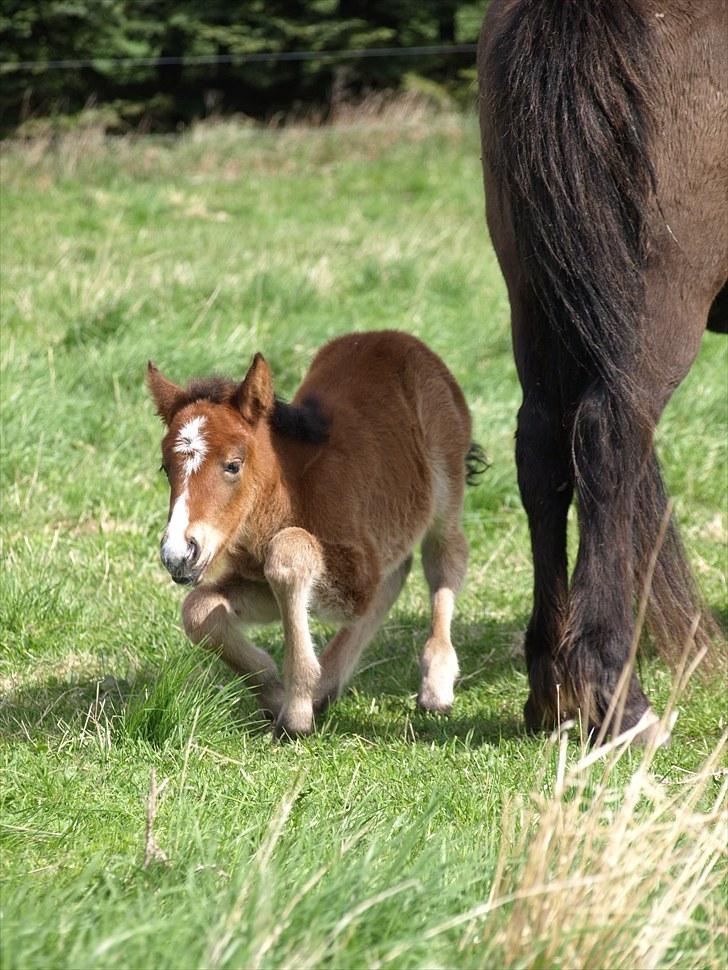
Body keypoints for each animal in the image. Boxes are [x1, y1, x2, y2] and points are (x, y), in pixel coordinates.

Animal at [148, 332, 478, 732]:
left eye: (233, 465)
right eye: (166, 468)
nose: (178, 554)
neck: (291, 493)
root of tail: (395, 337)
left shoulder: (356, 579)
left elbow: (289, 552)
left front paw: (296, 710)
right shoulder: (258, 580)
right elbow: (198, 609)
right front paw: (275, 693)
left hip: (446, 485)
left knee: (444, 558)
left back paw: (436, 685)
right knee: (397, 573)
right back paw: (327, 685)